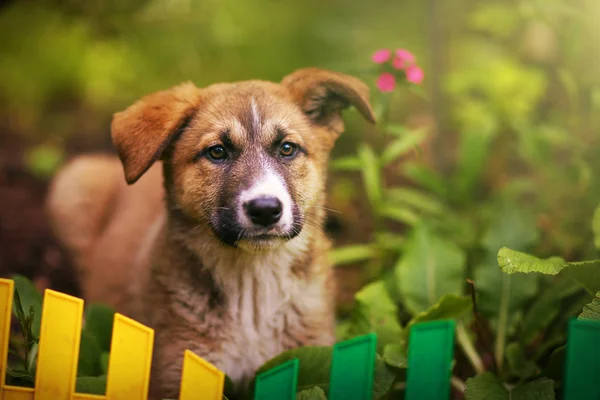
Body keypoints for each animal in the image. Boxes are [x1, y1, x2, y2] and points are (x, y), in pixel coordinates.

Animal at [47, 67, 376, 398]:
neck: (252, 286)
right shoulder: (179, 372)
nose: (265, 209)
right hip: (74, 183)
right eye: (217, 152)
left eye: (287, 148)